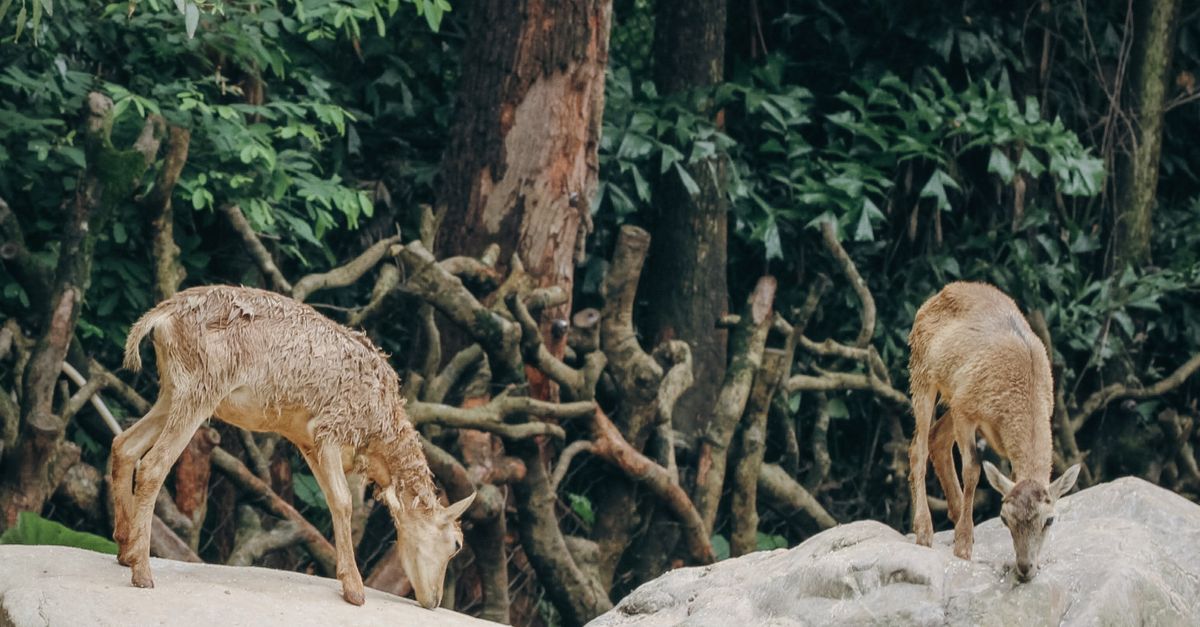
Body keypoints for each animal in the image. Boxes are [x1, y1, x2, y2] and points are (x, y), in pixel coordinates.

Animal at [113, 285, 475, 608]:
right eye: (456, 543)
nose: (434, 601)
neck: (380, 427)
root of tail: (162, 316)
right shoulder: (329, 431)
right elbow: (343, 502)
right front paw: (355, 591)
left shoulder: (308, 443)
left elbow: (332, 501)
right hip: (199, 392)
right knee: (153, 464)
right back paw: (142, 573)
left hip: (172, 391)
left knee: (124, 444)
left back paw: (124, 551)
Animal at [907, 281, 1080, 582]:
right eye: (1003, 518)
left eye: (1049, 519)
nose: (1025, 568)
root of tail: (935, 297)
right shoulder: (966, 410)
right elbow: (973, 469)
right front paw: (963, 547)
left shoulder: (965, 404)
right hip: (921, 372)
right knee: (918, 447)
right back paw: (925, 531)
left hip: (952, 392)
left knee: (936, 438)